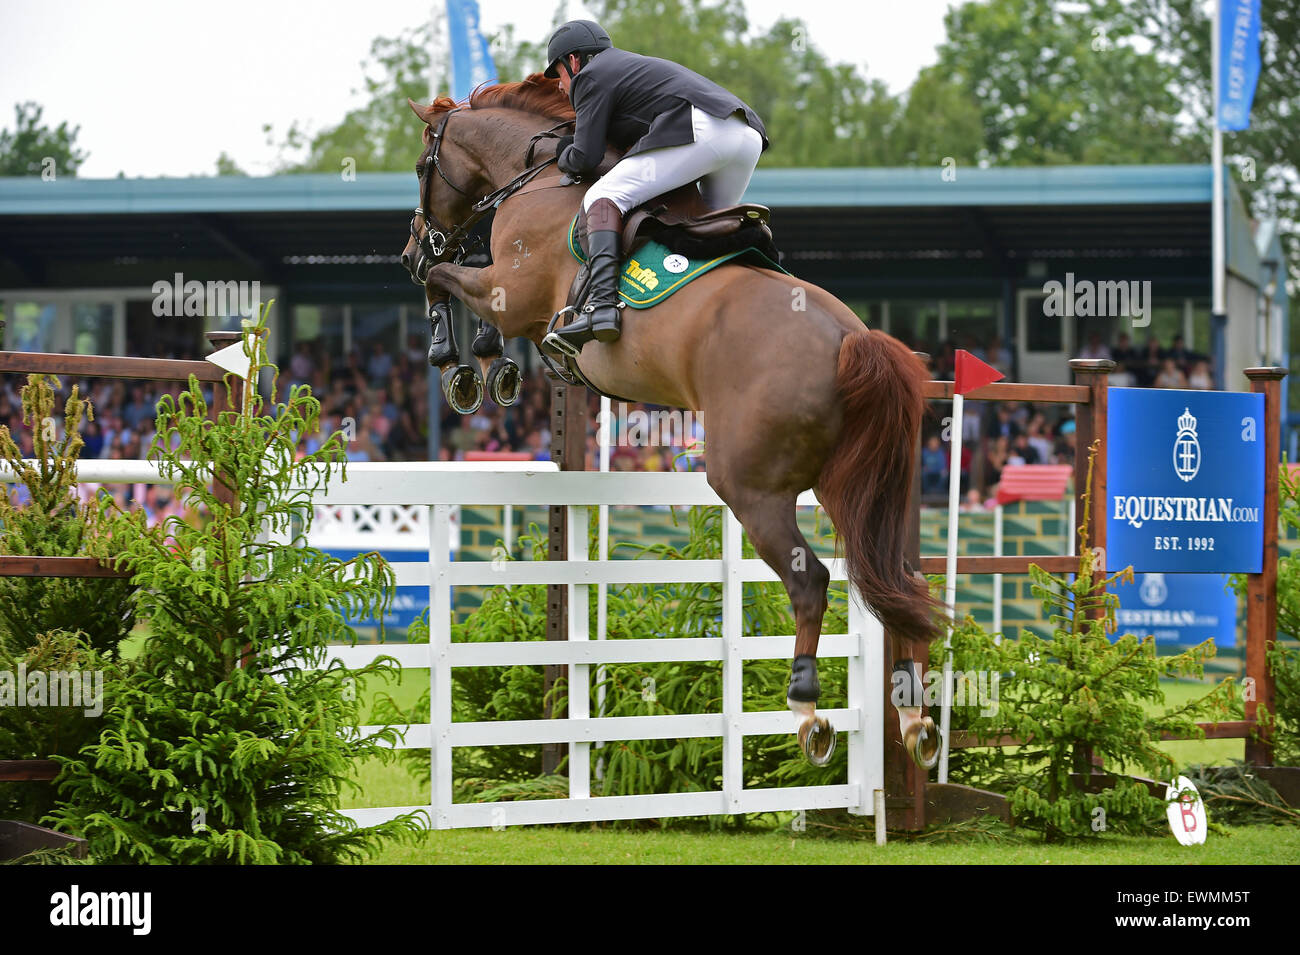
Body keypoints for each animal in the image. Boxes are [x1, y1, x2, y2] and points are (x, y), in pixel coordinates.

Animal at [400, 74, 941, 769]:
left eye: (422, 166)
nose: (412, 246)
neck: (537, 176)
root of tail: (852, 337)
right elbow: (457, 277)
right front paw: (485, 361)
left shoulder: (511, 292)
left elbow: (451, 280)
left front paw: (465, 363)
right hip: (854, 484)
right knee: (896, 578)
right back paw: (914, 717)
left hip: (750, 488)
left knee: (812, 582)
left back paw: (808, 712)